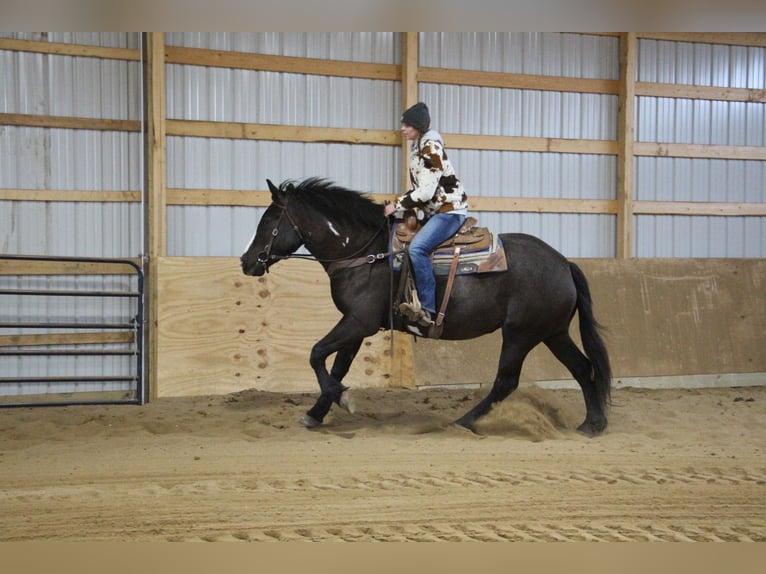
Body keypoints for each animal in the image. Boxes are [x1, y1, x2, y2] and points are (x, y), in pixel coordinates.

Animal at [240, 179, 612, 436]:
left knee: (507, 381)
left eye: (268, 223)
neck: (364, 252)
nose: (246, 261)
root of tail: (564, 264)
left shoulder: (358, 321)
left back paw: (463, 422)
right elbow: (337, 366)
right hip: (552, 332)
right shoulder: (356, 326)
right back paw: (592, 424)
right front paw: (316, 412)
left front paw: (344, 399)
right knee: (583, 368)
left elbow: (316, 354)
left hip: (520, 335)